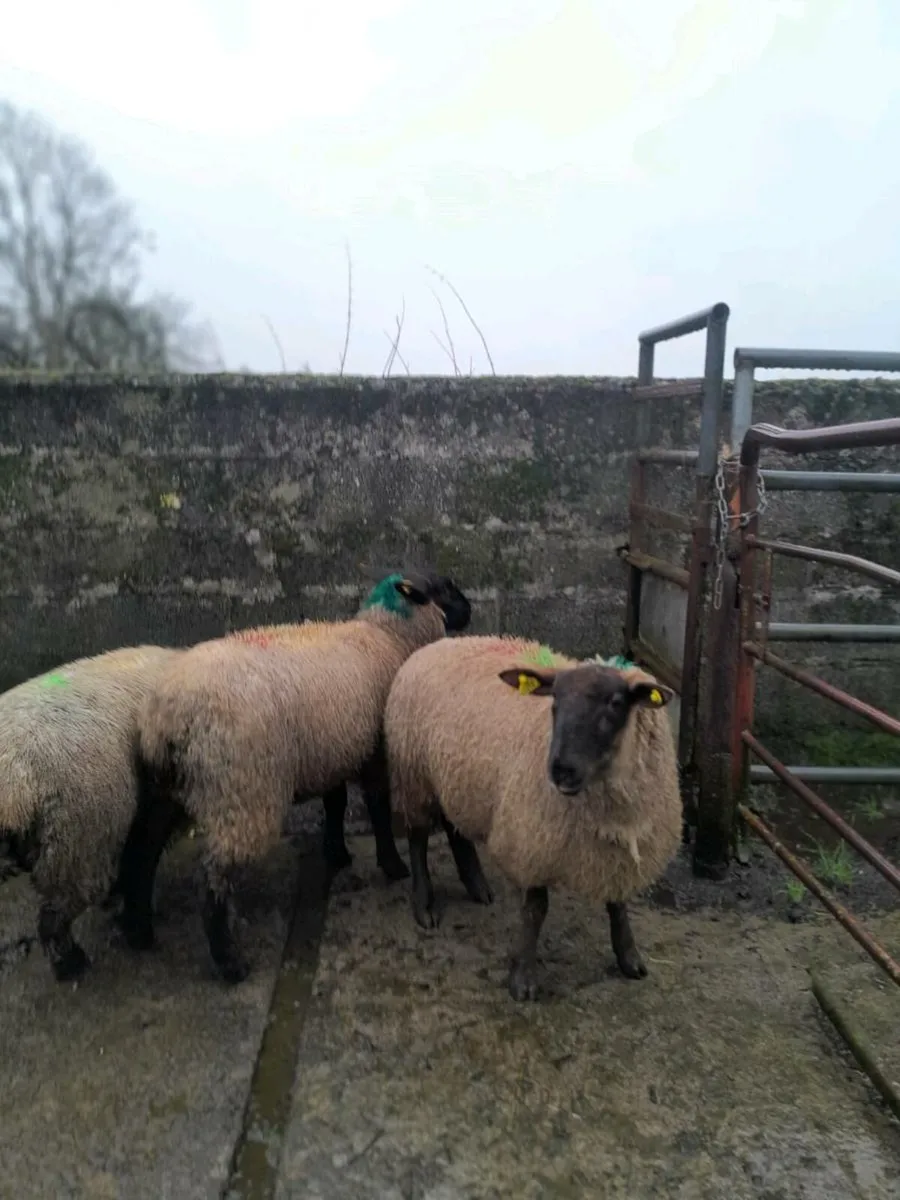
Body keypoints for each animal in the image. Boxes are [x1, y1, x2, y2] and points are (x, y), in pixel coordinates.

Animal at [0, 645, 181, 981]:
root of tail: (14, 790)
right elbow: (142, 862)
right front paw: (139, 931)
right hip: (76, 841)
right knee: (54, 914)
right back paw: (71, 965)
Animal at [128, 570, 472, 983]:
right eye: (444, 588)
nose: (470, 610)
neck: (386, 635)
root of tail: (166, 714)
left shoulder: (332, 750)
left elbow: (336, 802)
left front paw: (337, 853)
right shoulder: (375, 751)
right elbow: (377, 806)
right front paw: (392, 865)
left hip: (167, 787)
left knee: (144, 849)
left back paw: (139, 930)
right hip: (242, 790)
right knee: (211, 879)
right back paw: (230, 962)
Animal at [383, 635, 681, 1001]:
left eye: (615, 702)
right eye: (555, 701)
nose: (561, 770)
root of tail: (439, 642)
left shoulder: (616, 850)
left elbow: (618, 903)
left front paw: (629, 957)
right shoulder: (534, 841)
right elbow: (535, 911)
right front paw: (523, 978)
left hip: (458, 777)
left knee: (456, 830)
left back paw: (476, 885)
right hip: (415, 774)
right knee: (418, 836)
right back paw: (424, 905)